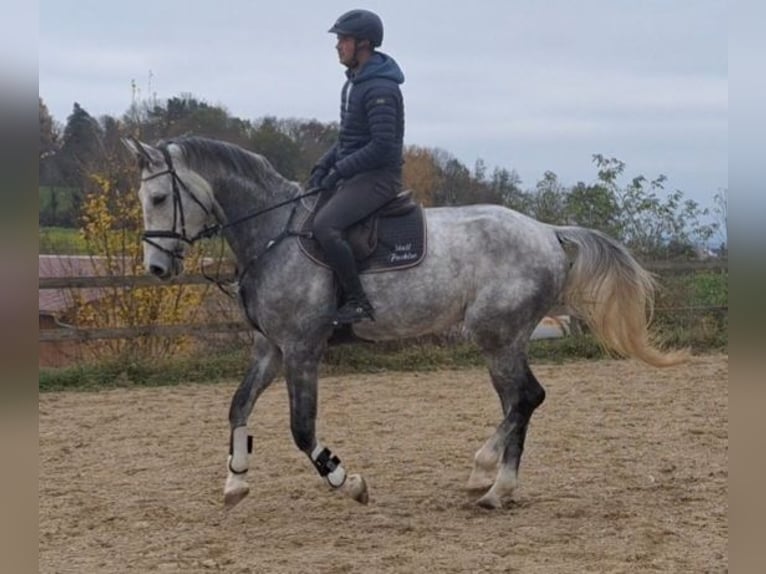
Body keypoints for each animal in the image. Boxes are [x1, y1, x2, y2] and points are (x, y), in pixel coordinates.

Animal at [123, 137, 688, 510]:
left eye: (158, 198)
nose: (156, 269)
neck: (273, 232)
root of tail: (547, 231)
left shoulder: (303, 349)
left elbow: (302, 430)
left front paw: (347, 481)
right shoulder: (272, 348)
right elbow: (238, 406)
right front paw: (236, 481)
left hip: (496, 335)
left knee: (528, 398)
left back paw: (486, 474)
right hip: (503, 341)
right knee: (518, 402)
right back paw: (499, 488)